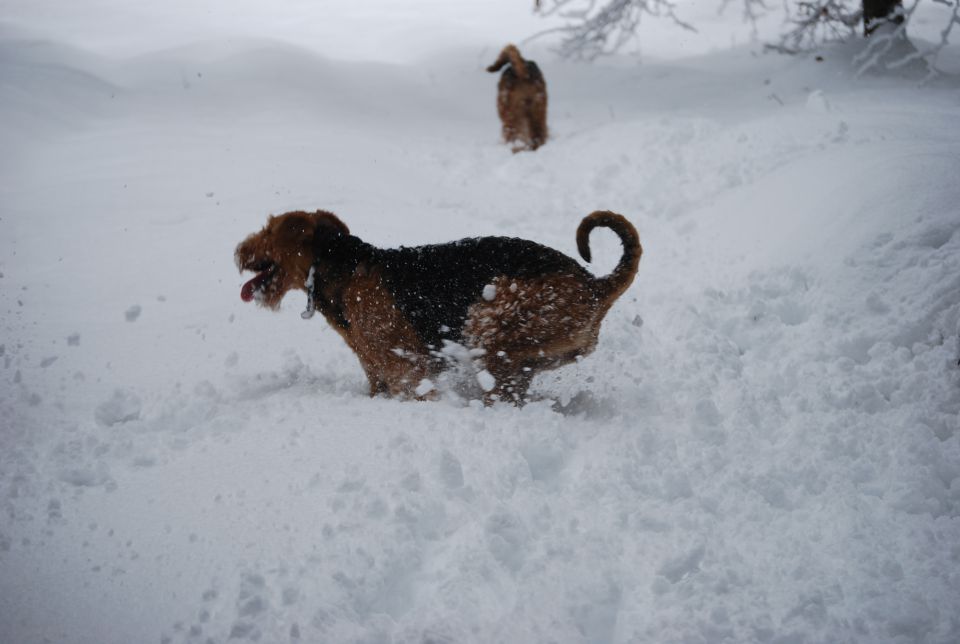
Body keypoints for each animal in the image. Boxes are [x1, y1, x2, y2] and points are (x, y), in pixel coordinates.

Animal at [233, 210, 640, 402]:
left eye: (269, 230)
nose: (239, 250)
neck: (339, 268)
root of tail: (595, 284)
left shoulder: (406, 372)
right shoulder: (377, 375)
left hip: (489, 324)